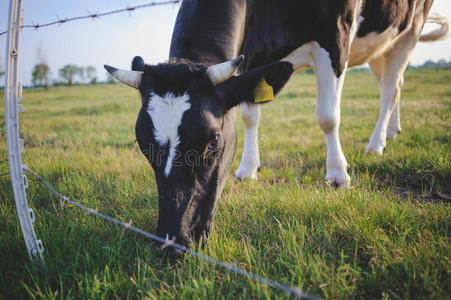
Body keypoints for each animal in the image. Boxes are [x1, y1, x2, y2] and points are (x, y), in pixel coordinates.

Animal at [105, 0, 448, 246]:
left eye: (213, 140)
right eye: (141, 143)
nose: (172, 238)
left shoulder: (335, 35)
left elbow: (327, 116)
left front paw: (338, 174)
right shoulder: (251, 57)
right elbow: (249, 114)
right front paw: (248, 169)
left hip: (408, 32)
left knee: (391, 87)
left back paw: (376, 144)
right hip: (380, 47)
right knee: (395, 84)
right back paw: (391, 131)